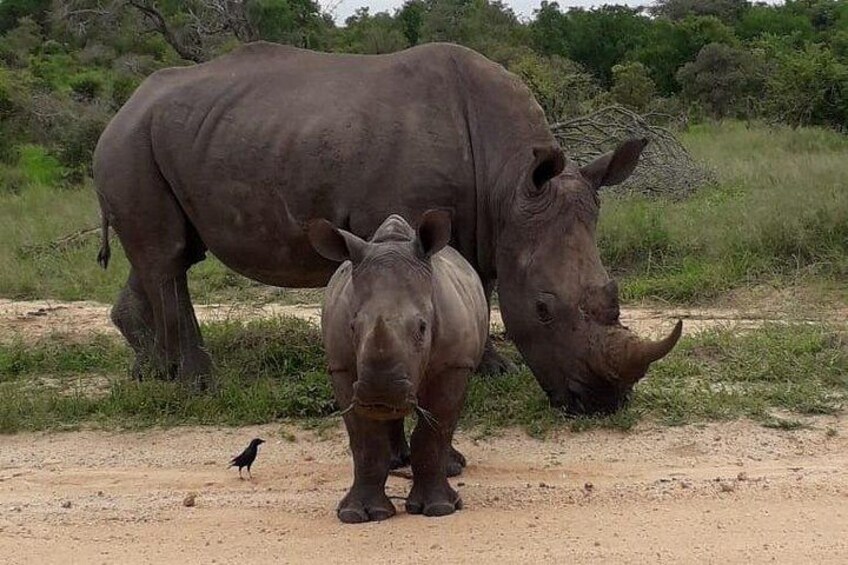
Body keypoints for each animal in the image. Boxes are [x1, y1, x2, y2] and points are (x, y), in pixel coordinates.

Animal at [94, 41, 681, 415]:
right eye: (542, 309)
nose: (602, 405)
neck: (507, 184)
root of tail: (124, 106)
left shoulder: (490, 225)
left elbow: (483, 285)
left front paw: (493, 369)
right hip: (130, 142)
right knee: (167, 256)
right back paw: (198, 385)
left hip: (169, 137)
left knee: (168, 256)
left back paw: (152, 375)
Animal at [309, 210, 487, 522]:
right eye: (353, 327)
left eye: (423, 327)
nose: (380, 393)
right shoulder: (342, 367)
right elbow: (365, 441)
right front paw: (358, 514)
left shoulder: (454, 365)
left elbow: (434, 432)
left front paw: (439, 509)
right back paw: (396, 462)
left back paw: (452, 467)